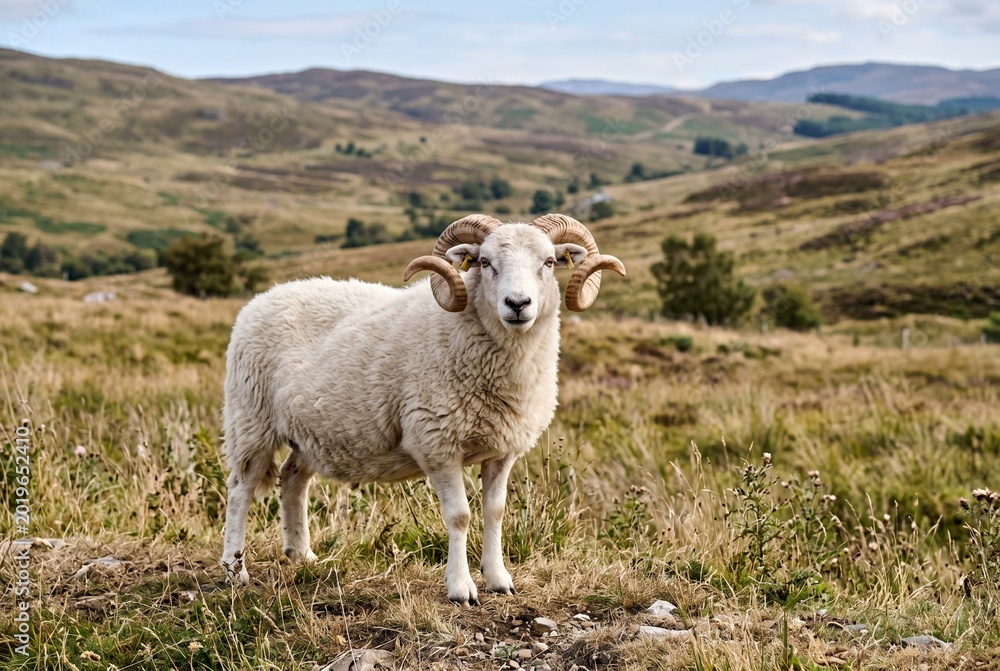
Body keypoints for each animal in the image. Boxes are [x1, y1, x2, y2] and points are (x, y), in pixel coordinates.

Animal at [219, 213, 625, 604]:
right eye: (485, 262)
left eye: (549, 262)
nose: (517, 305)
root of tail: (263, 297)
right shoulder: (438, 443)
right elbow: (459, 516)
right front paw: (461, 588)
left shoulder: (503, 450)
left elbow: (494, 512)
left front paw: (498, 580)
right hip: (251, 419)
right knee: (240, 489)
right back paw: (234, 570)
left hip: (311, 433)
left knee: (293, 479)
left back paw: (301, 554)